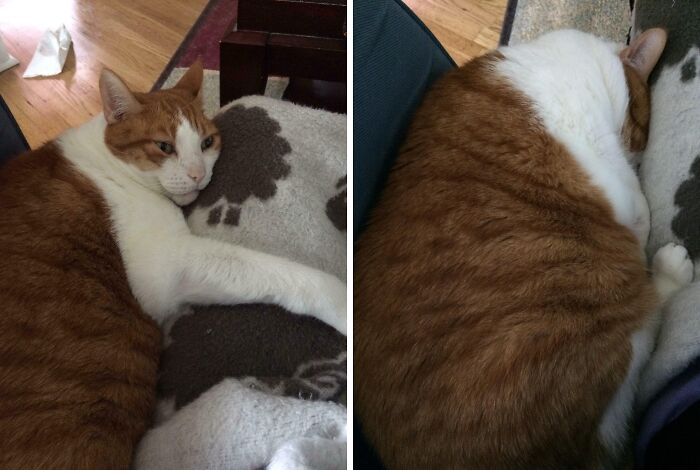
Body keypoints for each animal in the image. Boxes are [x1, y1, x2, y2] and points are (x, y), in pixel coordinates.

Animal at [0, 60, 346, 468]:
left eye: (206, 143)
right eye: (164, 147)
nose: (199, 175)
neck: (108, 160)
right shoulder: (172, 267)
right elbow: (279, 272)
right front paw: (342, 301)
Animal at [358, 28, 692, 470]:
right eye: (641, 129)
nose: (637, 152)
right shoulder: (612, 174)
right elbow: (640, 210)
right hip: (596, 312)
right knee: (647, 338)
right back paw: (673, 269)